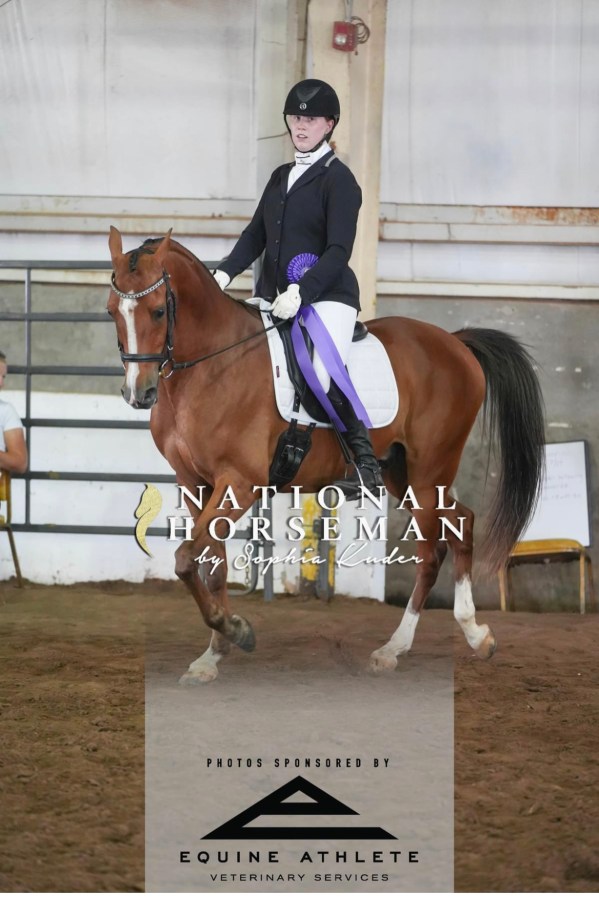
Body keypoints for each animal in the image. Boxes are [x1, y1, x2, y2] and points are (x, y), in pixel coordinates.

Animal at [107, 227, 545, 684]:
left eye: (158, 311)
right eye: (111, 312)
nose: (140, 393)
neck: (212, 366)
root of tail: (456, 343)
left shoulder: (240, 483)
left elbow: (186, 558)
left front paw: (236, 631)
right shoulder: (196, 484)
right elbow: (210, 563)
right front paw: (214, 653)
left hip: (430, 473)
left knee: (433, 551)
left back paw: (397, 648)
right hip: (401, 473)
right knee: (462, 523)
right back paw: (474, 636)